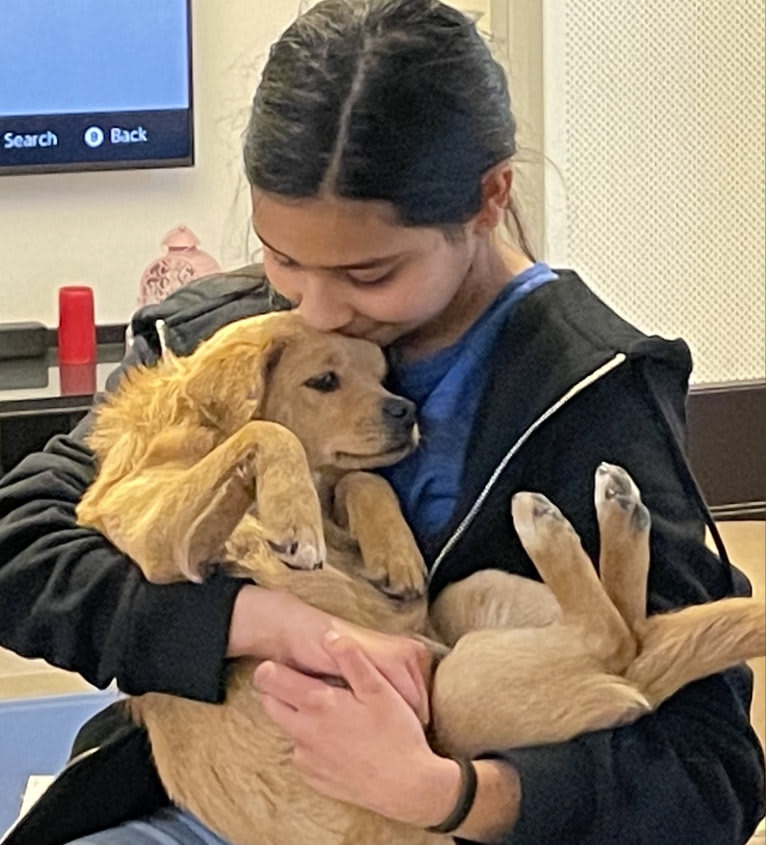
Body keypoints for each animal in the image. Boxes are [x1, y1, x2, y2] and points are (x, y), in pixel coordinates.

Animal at [75, 310, 764, 844]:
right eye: (324, 380)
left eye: (383, 376)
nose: (406, 410)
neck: (191, 428)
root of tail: (632, 684)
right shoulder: (164, 541)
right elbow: (268, 432)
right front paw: (295, 516)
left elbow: (361, 479)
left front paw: (395, 553)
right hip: (465, 681)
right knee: (621, 634)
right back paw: (580, 516)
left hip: (475, 615)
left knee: (629, 628)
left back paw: (610, 510)